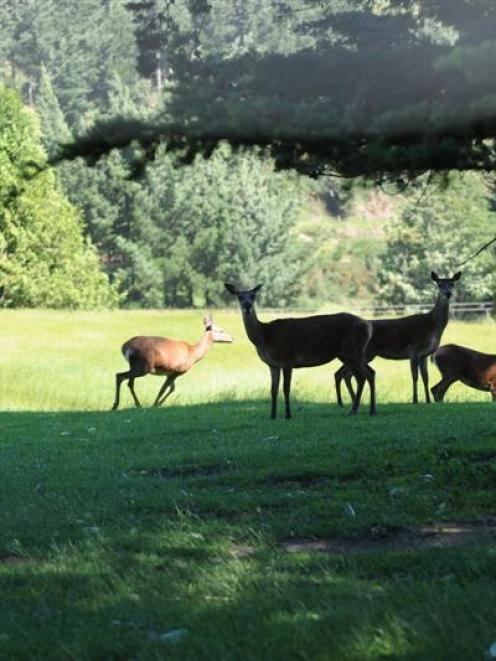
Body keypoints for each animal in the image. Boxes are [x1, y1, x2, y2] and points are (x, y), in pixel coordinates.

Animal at [225, 282, 376, 418]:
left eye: (253, 295)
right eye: (239, 296)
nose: (247, 306)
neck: (264, 336)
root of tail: (368, 327)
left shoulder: (287, 359)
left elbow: (286, 388)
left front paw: (288, 415)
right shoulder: (272, 364)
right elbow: (273, 390)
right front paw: (272, 415)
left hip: (352, 350)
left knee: (362, 376)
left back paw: (354, 410)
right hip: (351, 353)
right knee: (369, 373)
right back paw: (371, 410)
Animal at [334, 270, 462, 404]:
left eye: (452, 284)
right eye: (439, 284)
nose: (448, 293)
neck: (433, 326)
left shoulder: (425, 355)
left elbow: (426, 378)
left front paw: (427, 401)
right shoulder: (414, 349)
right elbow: (415, 376)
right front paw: (415, 400)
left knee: (344, 374)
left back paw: (350, 401)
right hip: (364, 353)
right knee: (343, 374)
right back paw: (345, 402)